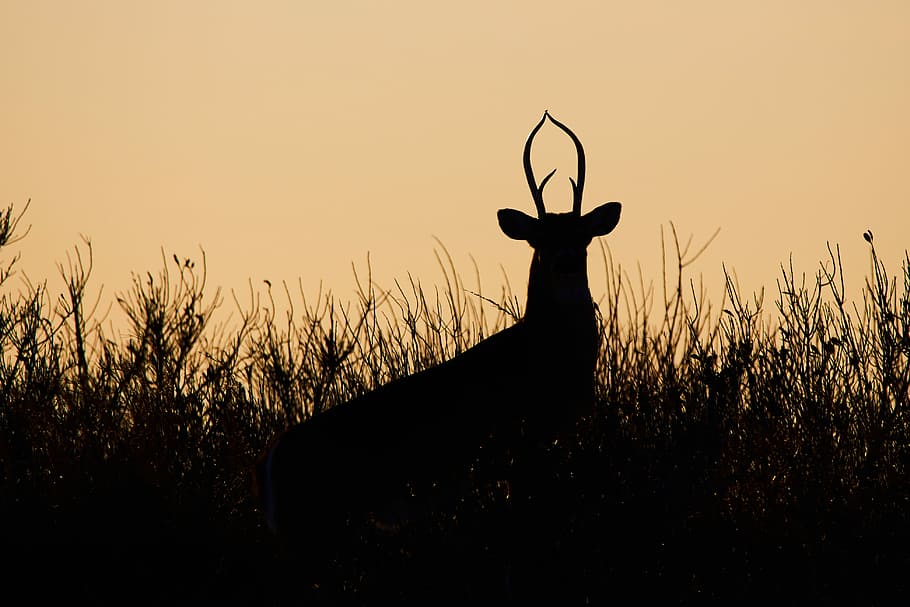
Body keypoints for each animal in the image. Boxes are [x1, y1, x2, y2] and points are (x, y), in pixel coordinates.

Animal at [260, 113, 624, 560]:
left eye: (583, 236)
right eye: (539, 239)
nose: (566, 262)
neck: (544, 354)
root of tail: (272, 460)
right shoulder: (520, 440)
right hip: (317, 525)